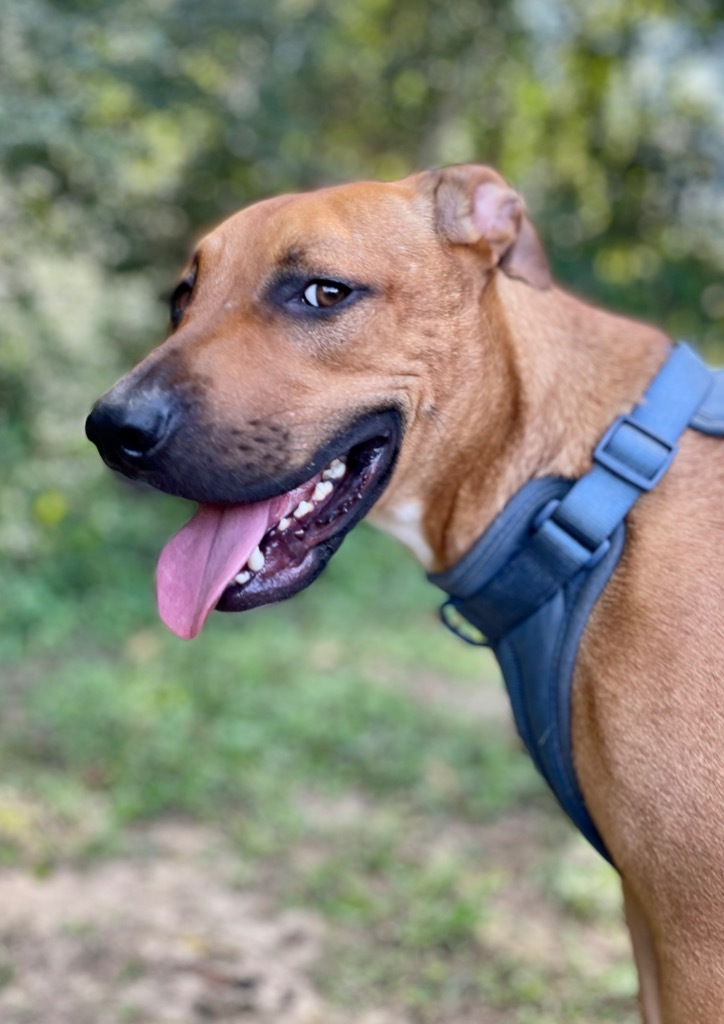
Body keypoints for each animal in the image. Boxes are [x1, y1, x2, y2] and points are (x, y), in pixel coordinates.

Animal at [87, 163, 724, 1019]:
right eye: (181, 297)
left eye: (323, 293)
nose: (110, 429)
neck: (583, 483)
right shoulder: (649, 919)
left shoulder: (696, 941)